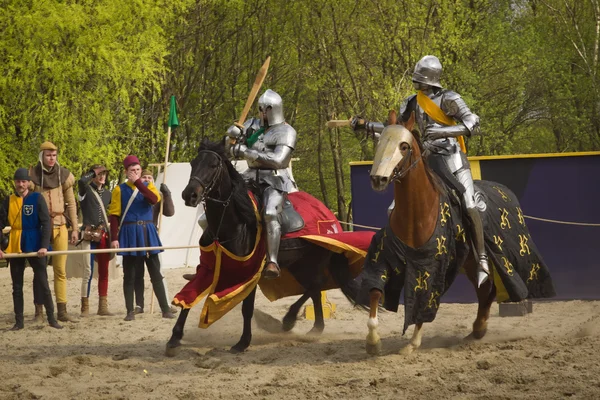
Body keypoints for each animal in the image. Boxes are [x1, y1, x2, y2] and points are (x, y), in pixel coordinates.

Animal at [165, 139, 360, 354]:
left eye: (213, 165)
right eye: (193, 163)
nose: (189, 195)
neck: (233, 223)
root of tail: (330, 215)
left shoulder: (250, 272)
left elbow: (247, 309)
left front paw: (243, 342)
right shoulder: (210, 267)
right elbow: (190, 294)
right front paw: (175, 337)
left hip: (314, 260)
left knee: (316, 284)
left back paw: (290, 319)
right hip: (298, 264)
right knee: (315, 289)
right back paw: (315, 327)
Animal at [364, 120, 494, 354]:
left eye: (403, 146)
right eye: (379, 142)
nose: (378, 179)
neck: (416, 214)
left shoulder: (430, 268)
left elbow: (423, 303)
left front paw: (413, 342)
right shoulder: (385, 258)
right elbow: (375, 292)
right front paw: (373, 341)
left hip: (473, 259)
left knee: (485, 285)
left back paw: (479, 325)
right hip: (467, 264)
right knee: (484, 292)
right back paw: (478, 328)